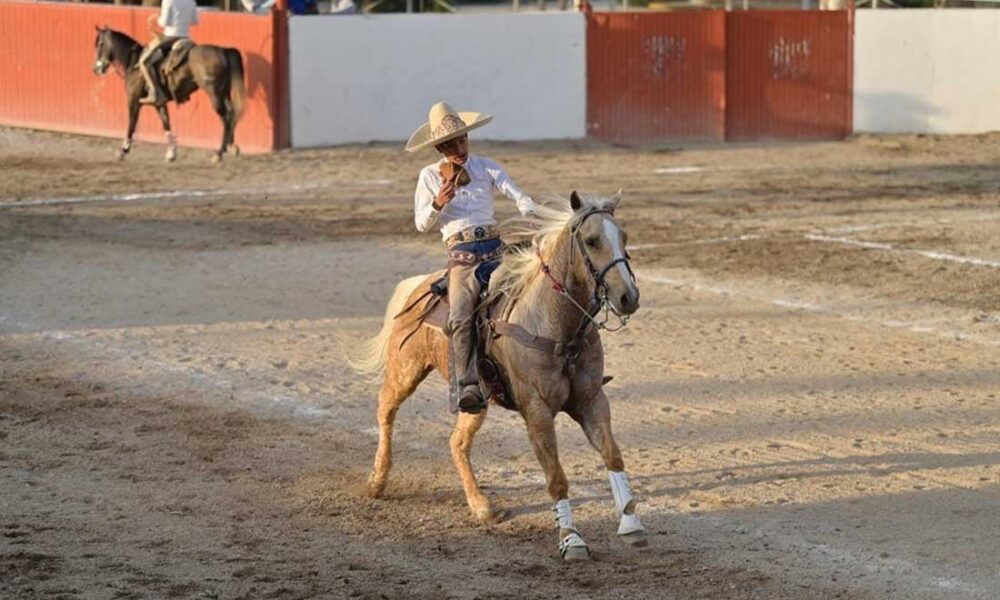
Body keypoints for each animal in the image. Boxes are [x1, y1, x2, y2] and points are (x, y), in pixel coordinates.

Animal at [92, 26, 246, 162]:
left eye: (100, 44)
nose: (96, 69)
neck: (133, 63)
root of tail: (222, 51)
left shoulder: (133, 100)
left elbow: (132, 124)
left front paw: (123, 151)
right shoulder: (159, 103)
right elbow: (166, 123)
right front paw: (171, 153)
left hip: (214, 93)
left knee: (225, 116)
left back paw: (219, 153)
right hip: (224, 93)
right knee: (230, 114)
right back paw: (231, 146)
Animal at [348, 193, 644, 564]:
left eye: (625, 236)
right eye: (591, 240)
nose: (628, 297)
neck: (554, 323)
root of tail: (418, 284)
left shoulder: (592, 401)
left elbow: (612, 455)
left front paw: (631, 523)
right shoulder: (537, 411)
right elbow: (556, 478)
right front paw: (570, 539)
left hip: (475, 400)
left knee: (457, 443)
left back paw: (481, 507)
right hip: (406, 369)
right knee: (385, 410)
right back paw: (377, 481)